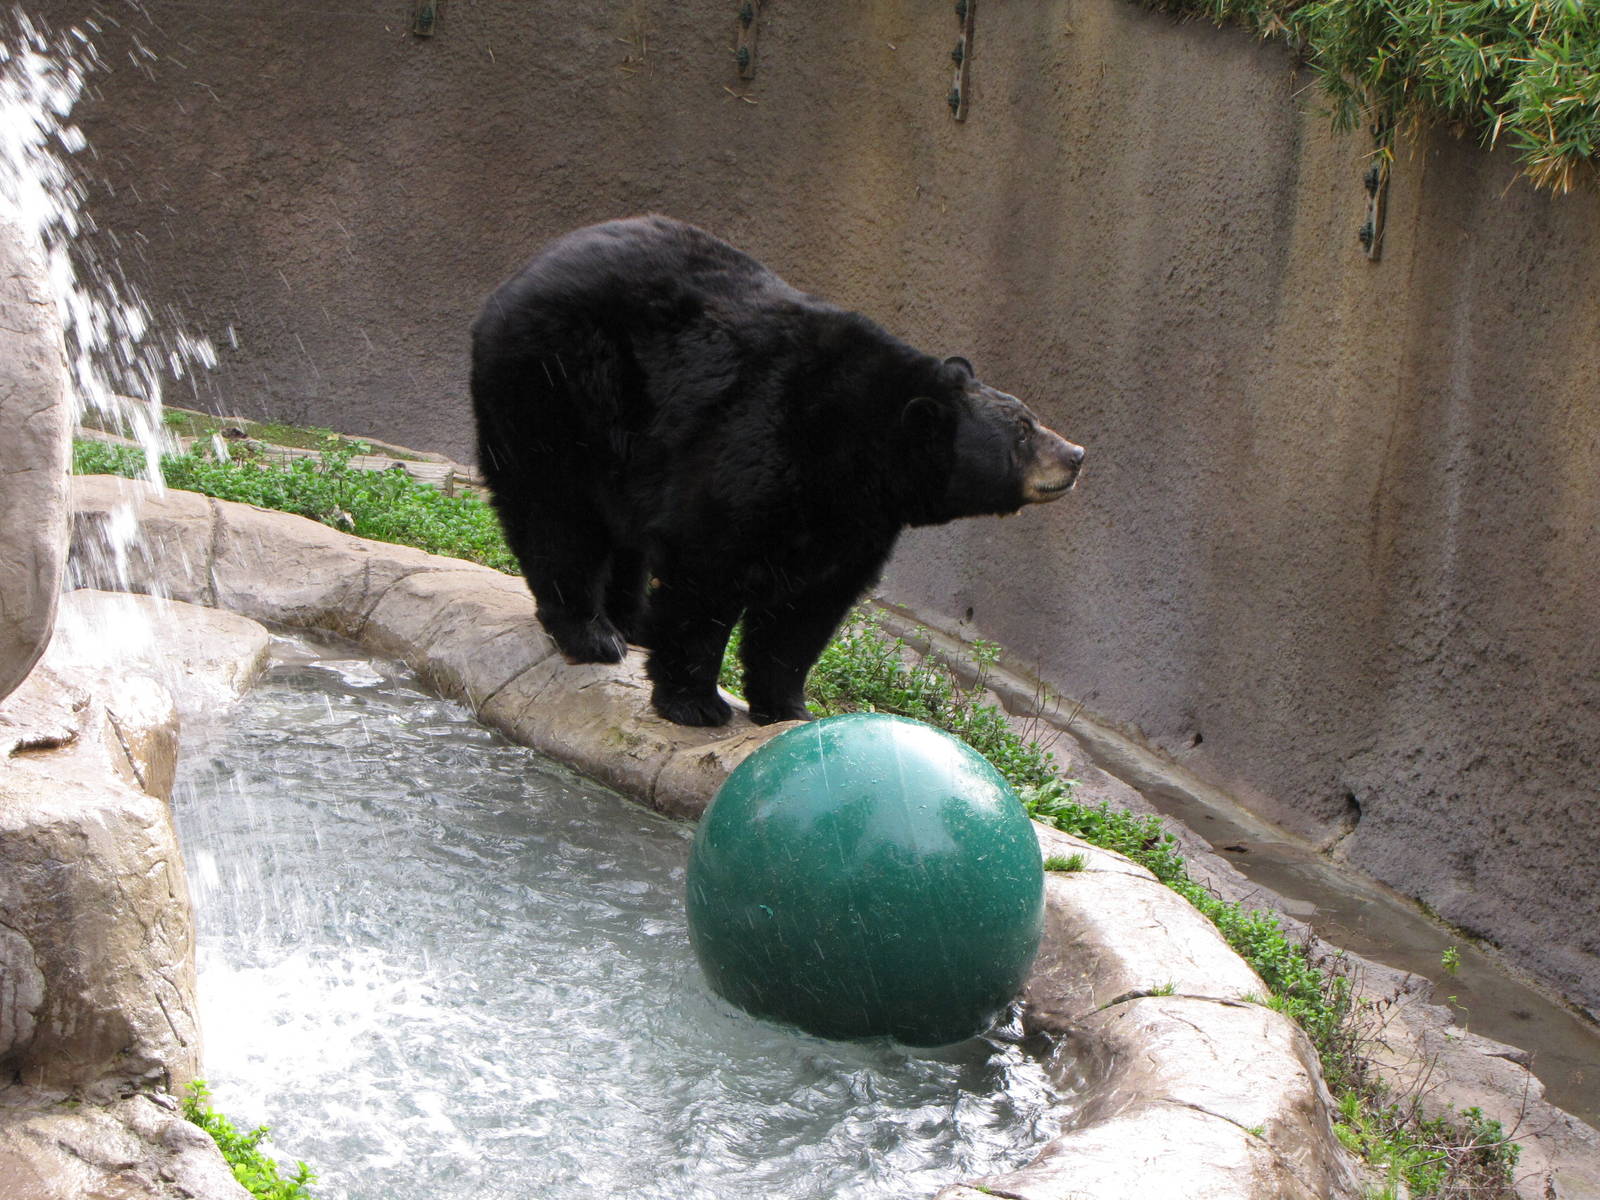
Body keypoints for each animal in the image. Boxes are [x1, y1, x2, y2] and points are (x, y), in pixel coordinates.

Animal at [469, 215, 1084, 728]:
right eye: (1023, 431)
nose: (1076, 456)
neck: (861, 451)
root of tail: (523, 273)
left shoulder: (853, 522)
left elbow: (805, 612)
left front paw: (789, 708)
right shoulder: (760, 445)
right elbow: (707, 570)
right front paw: (697, 704)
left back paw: (630, 619)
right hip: (559, 388)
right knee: (556, 514)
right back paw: (592, 633)